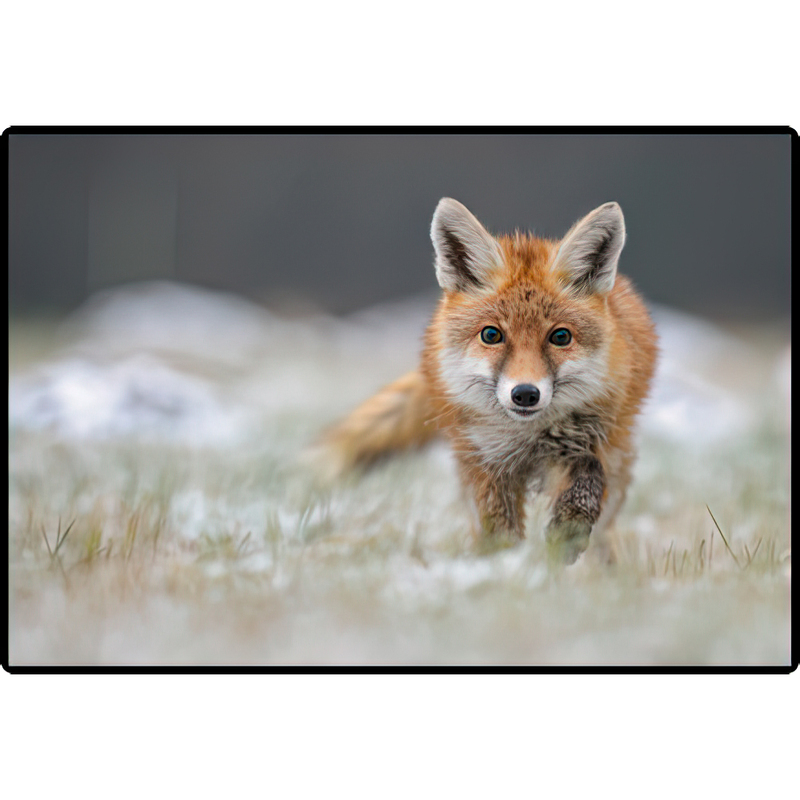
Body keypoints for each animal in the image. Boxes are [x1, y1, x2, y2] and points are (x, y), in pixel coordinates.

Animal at [319, 198, 658, 563]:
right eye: (491, 335)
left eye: (560, 336)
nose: (525, 394)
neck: (528, 438)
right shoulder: (486, 461)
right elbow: (498, 529)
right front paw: (503, 565)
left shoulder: (589, 441)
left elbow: (589, 478)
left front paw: (566, 535)